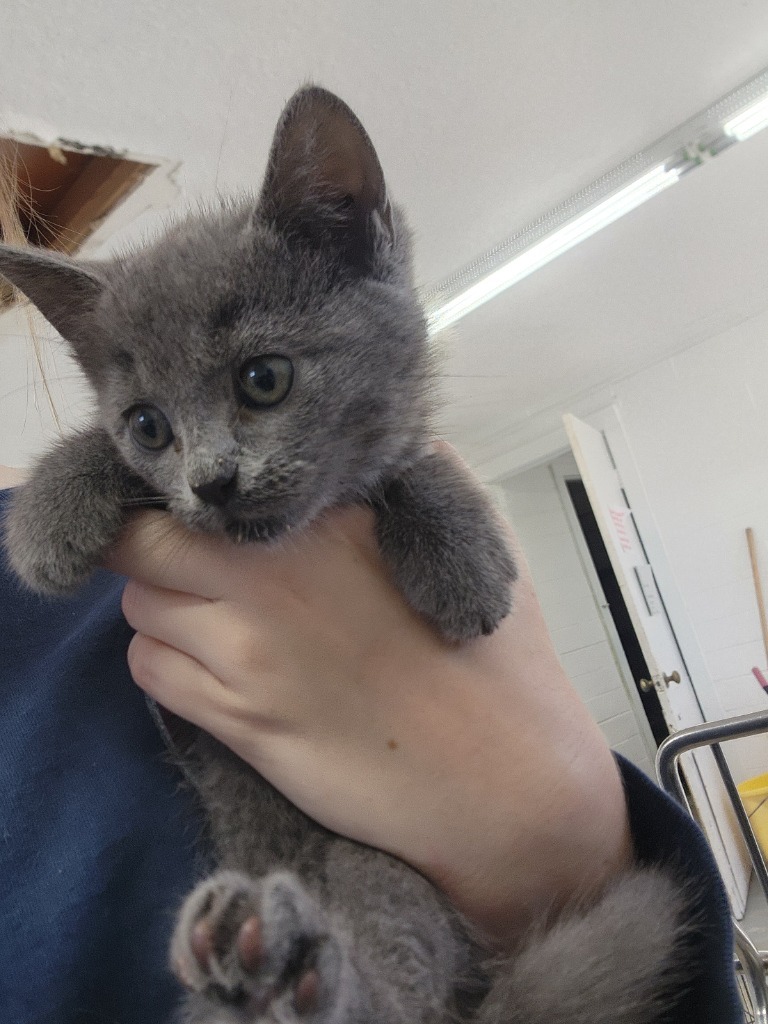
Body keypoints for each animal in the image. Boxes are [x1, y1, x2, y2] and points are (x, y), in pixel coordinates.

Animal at [1, 88, 692, 1024]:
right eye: (147, 425)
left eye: (264, 379)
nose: (212, 482)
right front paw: (50, 511)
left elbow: (410, 459)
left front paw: (463, 557)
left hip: (380, 866)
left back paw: (284, 961)